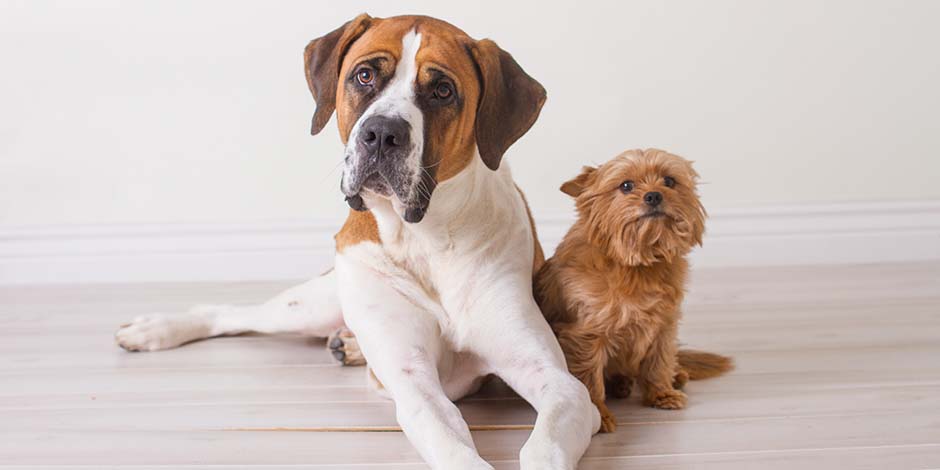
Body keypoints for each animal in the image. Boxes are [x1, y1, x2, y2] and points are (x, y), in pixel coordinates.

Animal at [114, 12, 600, 468]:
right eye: (365, 76)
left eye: (442, 90)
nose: (382, 132)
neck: (424, 238)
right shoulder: (417, 387)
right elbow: (451, 442)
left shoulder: (561, 385)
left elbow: (544, 444)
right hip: (312, 304)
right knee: (232, 313)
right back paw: (156, 329)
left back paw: (345, 345)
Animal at [536, 149, 736, 432]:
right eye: (626, 185)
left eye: (669, 181)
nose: (653, 195)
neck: (638, 263)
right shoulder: (586, 336)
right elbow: (589, 379)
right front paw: (598, 415)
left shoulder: (664, 326)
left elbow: (658, 364)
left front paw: (661, 393)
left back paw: (674, 376)